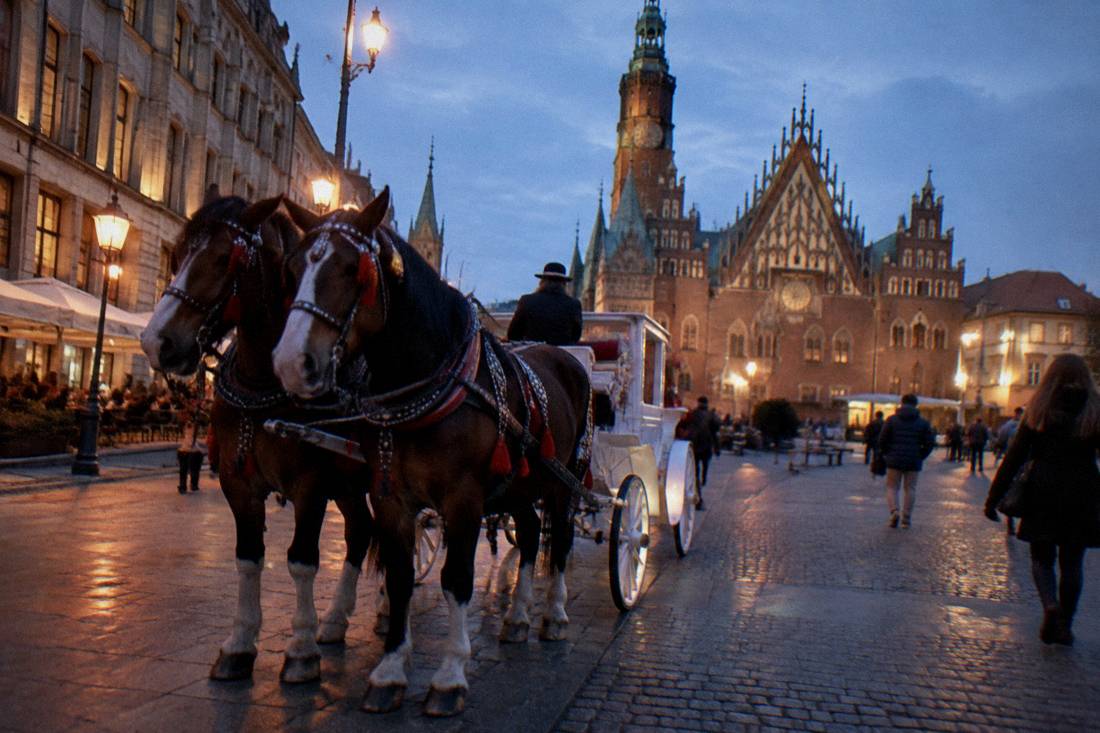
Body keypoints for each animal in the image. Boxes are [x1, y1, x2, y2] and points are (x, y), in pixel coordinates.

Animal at [140, 194, 375, 684]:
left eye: (221, 259)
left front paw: (301, 651)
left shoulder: (311, 485)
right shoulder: (237, 482)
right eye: (176, 254)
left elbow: (302, 559)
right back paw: (336, 620)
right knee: (361, 532)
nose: (156, 342)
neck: (264, 381)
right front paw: (239, 644)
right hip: (348, 485)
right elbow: (249, 557)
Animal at [272, 188, 592, 717]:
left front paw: (449, 677)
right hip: (522, 485)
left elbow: (456, 578)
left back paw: (556, 614)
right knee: (529, 536)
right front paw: (389, 672)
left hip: (565, 479)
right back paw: (518, 618)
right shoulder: (390, 497)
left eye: (352, 269)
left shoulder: (464, 500)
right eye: (294, 266)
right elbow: (401, 574)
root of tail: (561, 355)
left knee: (560, 541)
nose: (291, 364)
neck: (429, 382)